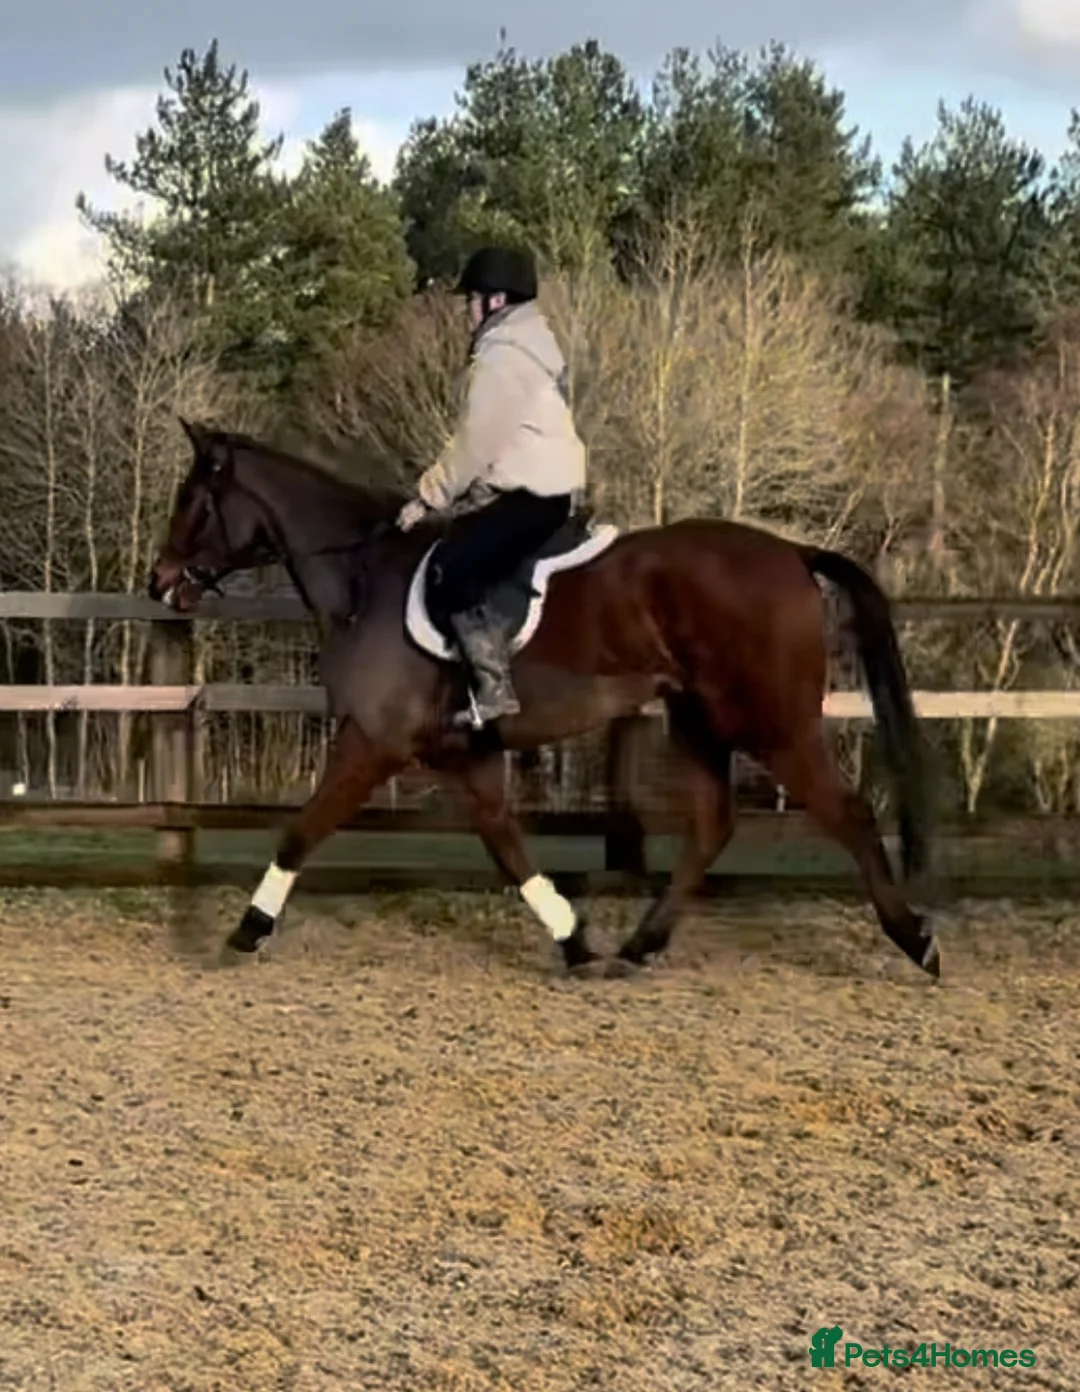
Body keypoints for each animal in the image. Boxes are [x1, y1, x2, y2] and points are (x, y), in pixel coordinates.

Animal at [147, 418, 941, 979]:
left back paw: (916, 940)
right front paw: (575, 939)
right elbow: (505, 842)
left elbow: (302, 830)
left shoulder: (372, 741)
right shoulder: (465, 750)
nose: (160, 583)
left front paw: (247, 930)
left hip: (772, 723)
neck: (364, 579)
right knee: (714, 824)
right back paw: (639, 946)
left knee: (848, 812)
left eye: (194, 502)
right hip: (697, 719)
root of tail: (792, 553)